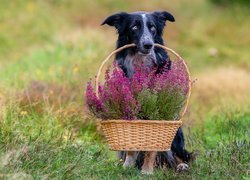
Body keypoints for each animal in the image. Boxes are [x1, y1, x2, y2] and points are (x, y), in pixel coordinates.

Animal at [101, 10, 193, 174]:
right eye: (134, 27)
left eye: (153, 27)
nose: (148, 44)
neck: (141, 62)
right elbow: (132, 146)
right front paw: (127, 166)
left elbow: (152, 146)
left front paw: (147, 171)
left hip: (177, 135)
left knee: (178, 155)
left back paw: (180, 165)